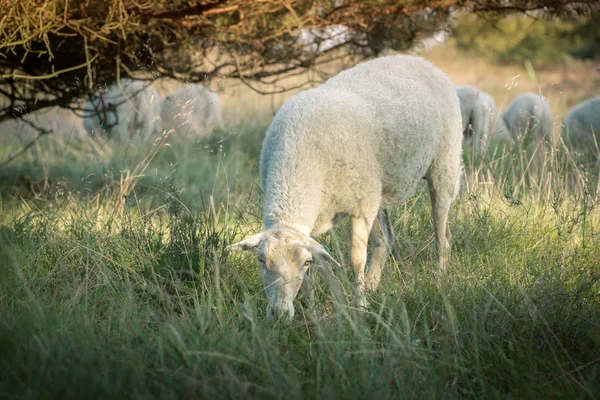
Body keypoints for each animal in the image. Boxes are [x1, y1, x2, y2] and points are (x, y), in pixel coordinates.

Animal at [227, 54, 462, 320]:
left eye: (304, 262)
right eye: (260, 260)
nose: (278, 314)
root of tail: (417, 59)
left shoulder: (360, 209)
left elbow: (355, 261)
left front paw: (360, 309)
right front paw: (312, 310)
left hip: (442, 166)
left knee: (441, 236)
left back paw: (439, 281)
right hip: (377, 191)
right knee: (387, 240)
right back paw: (372, 285)